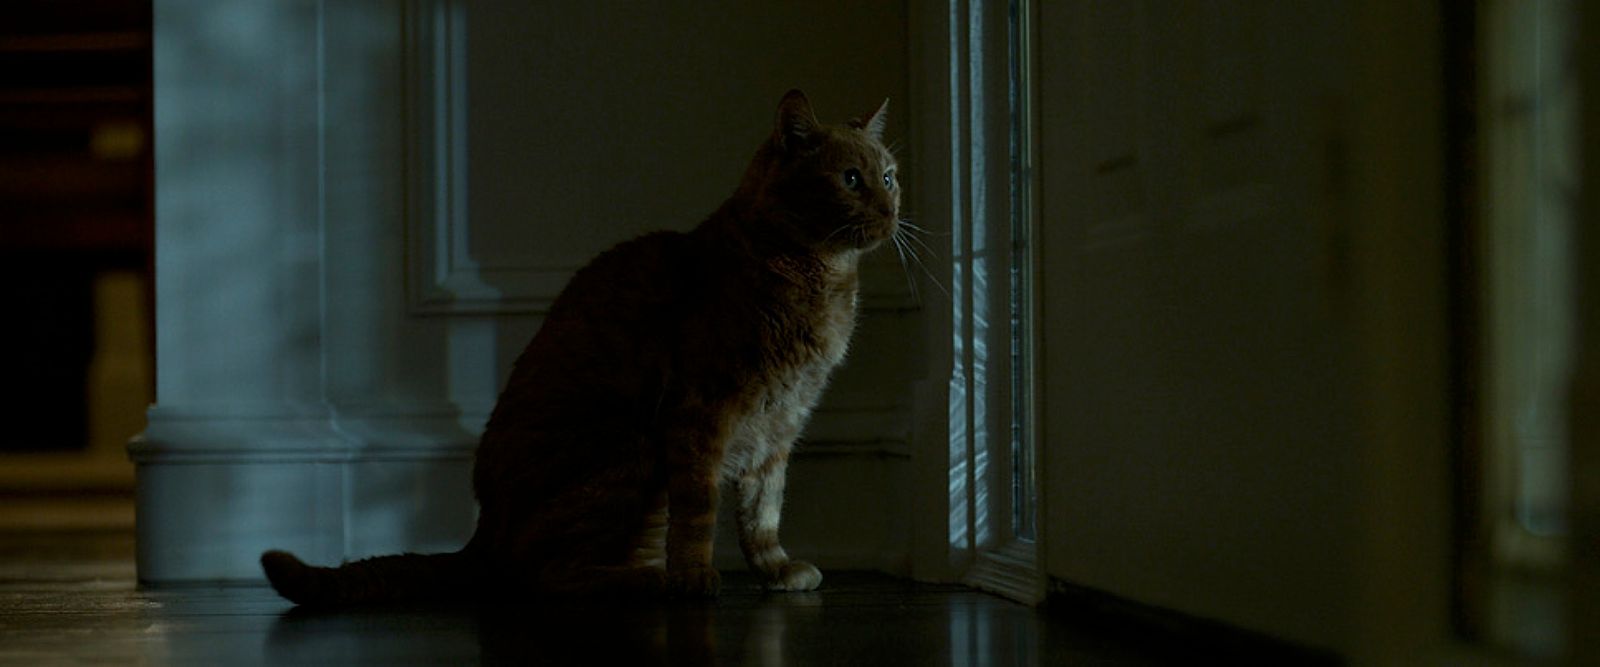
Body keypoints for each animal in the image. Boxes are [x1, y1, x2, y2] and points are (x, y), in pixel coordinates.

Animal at [262, 88, 902, 601]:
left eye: (890, 175)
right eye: (851, 179)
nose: (893, 205)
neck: (821, 279)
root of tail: (482, 534)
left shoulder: (781, 426)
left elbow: (762, 512)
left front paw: (776, 572)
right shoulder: (701, 414)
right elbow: (701, 511)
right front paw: (695, 578)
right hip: (630, 452)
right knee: (545, 578)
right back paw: (649, 580)